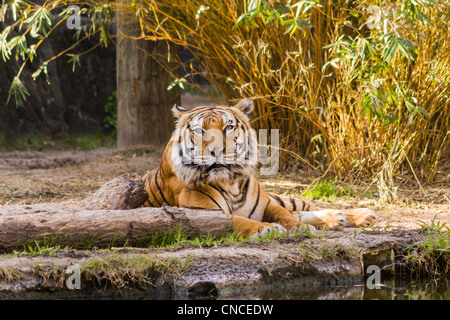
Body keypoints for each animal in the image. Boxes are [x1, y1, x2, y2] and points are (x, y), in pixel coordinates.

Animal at [141, 99, 376, 238]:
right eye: (200, 131)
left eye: (228, 127)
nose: (216, 151)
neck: (231, 182)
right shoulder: (201, 213)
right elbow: (237, 220)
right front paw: (266, 228)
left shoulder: (265, 204)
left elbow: (284, 214)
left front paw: (297, 228)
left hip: (280, 196)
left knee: (302, 206)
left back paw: (358, 215)